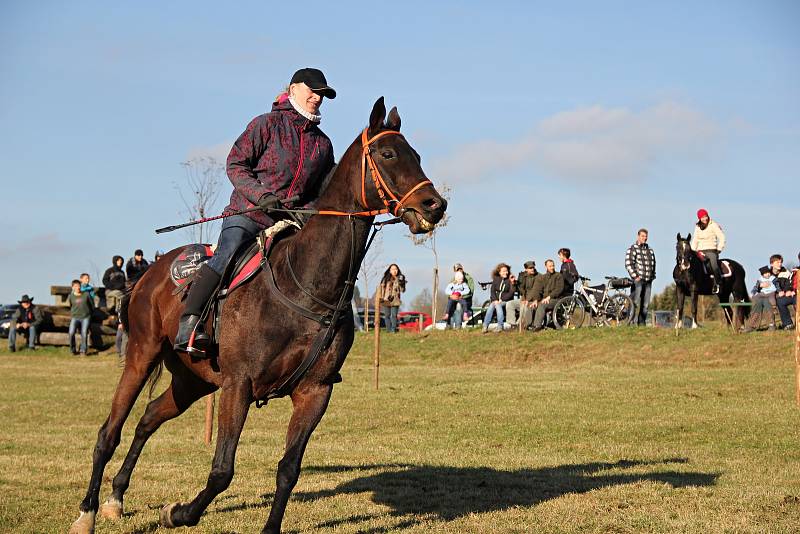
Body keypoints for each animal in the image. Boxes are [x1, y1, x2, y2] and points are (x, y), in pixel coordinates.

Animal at [69, 98, 446, 532]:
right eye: (388, 154)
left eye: (416, 156)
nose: (435, 205)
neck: (307, 286)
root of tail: (151, 270)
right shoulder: (239, 386)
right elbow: (221, 471)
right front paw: (179, 512)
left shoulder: (315, 392)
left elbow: (288, 469)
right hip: (142, 356)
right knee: (108, 432)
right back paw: (88, 511)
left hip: (193, 381)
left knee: (148, 418)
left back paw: (116, 497)